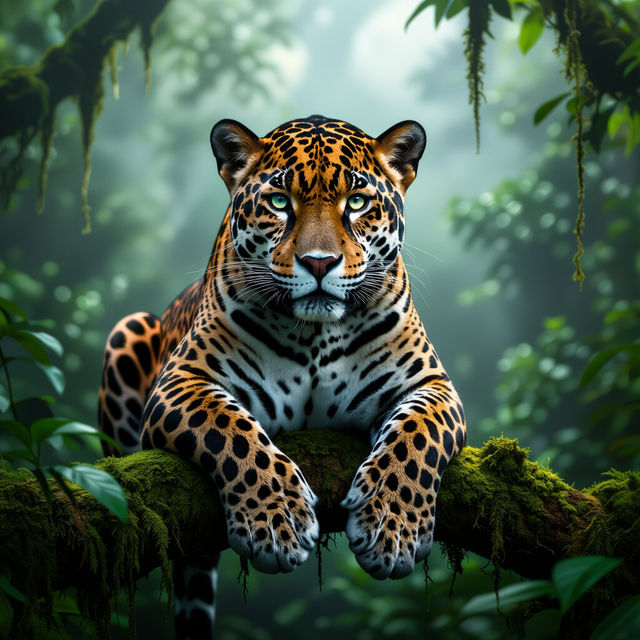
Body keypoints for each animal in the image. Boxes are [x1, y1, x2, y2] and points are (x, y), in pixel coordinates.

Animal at [98, 115, 466, 639]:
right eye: (278, 202)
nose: (319, 262)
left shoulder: (431, 385)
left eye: (357, 202)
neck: (315, 336)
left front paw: (393, 529)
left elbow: (416, 440)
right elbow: (232, 432)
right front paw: (277, 523)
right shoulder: (184, 380)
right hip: (127, 329)